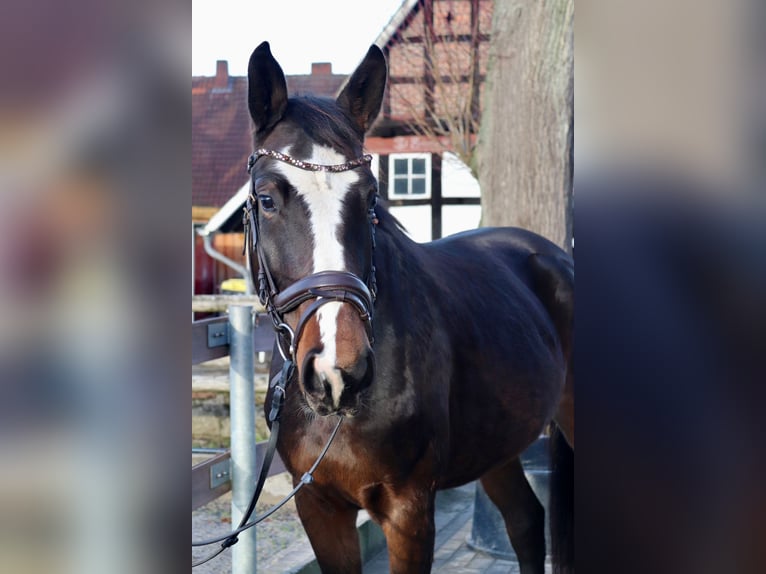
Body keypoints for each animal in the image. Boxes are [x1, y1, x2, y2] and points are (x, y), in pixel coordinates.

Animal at [244, 42, 574, 574]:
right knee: (526, 522)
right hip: (498, 446)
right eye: (267, 199)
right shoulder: (319, 508)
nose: (339, 370)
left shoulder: (409, 511)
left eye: (370, 197)